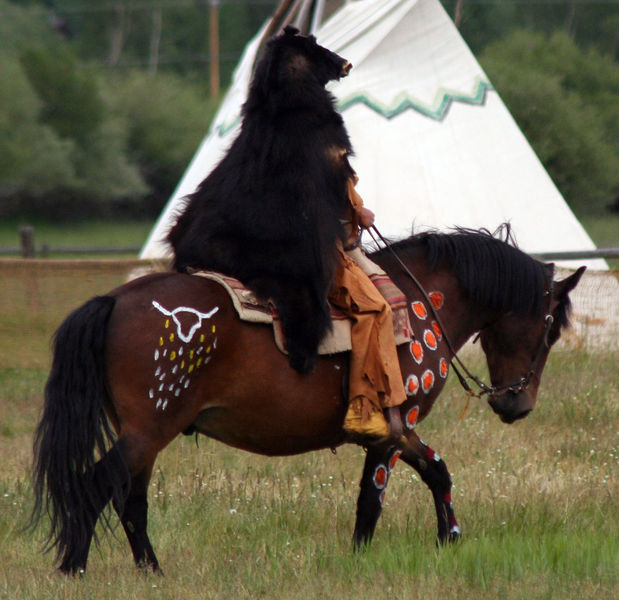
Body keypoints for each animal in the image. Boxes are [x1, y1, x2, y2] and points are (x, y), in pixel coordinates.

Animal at [30, 227, 588, 576]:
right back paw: (74, 569)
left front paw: (448, 539)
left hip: (144, 435)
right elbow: (373, 500)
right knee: (95, 486)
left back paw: (152, 572)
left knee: (130, 501)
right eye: (550, 329)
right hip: (148, 430)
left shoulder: (400, 431)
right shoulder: (393, 429)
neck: (422, 303)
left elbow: (437, 472)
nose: (518, 405)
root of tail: (115, 300)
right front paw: (363, 561)